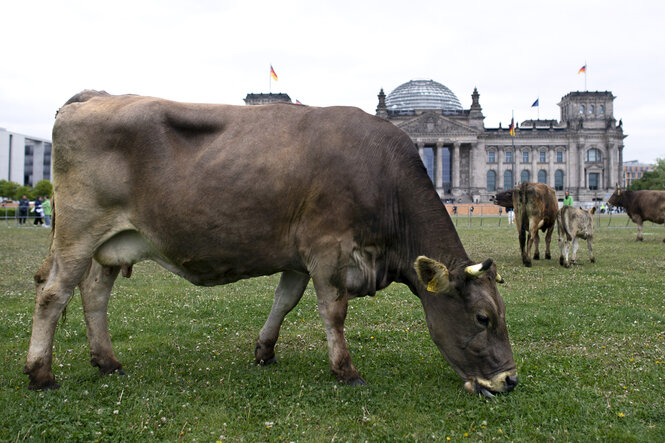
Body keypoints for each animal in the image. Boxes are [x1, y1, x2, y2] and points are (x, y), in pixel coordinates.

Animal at [24, 91, 518, 398]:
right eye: (483, 317)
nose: (510, 380)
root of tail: (94, 95)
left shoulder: (299, 257)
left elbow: (284, 302)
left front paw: (264, 351)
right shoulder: (329, 249)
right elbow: (333, 311)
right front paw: (345, 370)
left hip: (114, 242)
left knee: (94, 294)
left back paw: (107, 361)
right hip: (78, 232)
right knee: (53, 294)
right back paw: (41, 374)